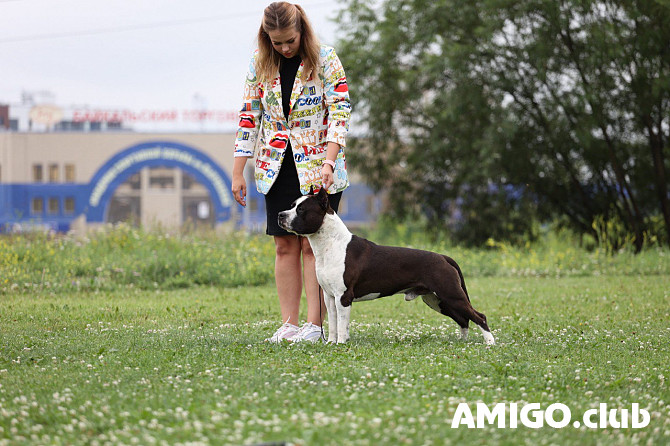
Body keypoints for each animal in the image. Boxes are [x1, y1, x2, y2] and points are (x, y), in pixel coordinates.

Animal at [276, 188, 494, 344]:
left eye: (301, 210)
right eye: (292, 205)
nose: (280, 214)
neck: (330, 243)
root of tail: (443, 257)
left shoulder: (343, 297)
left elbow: (342, 324)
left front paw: (340, 344)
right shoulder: (329, 297)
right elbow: (333, 323)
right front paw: (331, 342)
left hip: (450, 294)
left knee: (479, 316)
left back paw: (489, 343)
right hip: (436, 300)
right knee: (463, 319)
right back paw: (462, 341)